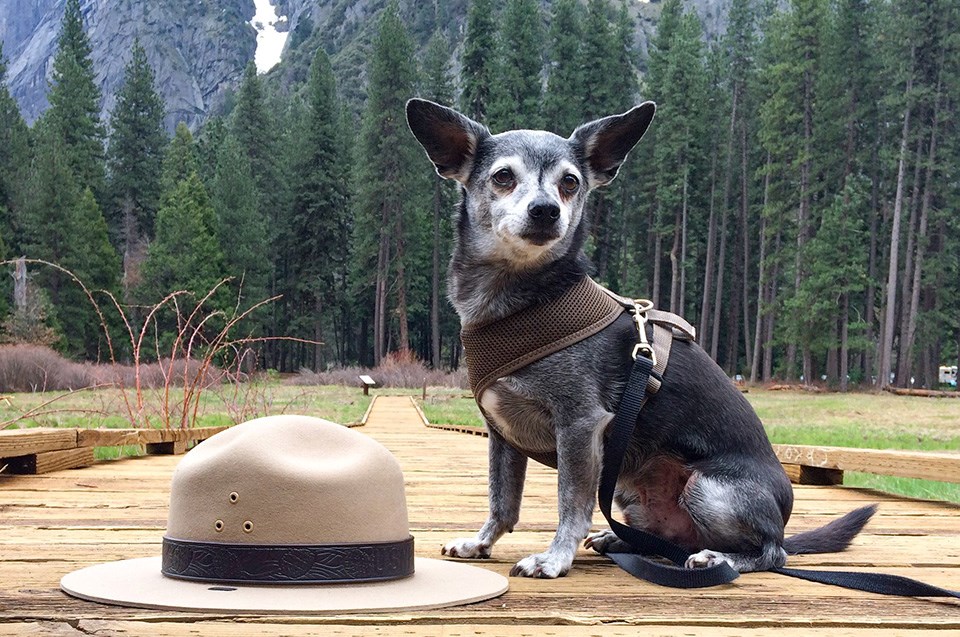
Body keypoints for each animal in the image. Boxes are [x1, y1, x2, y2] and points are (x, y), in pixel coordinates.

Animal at [406, 98, 876, 576]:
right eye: (503, 176)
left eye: (570, 183)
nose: (546, 210)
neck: (520, 302)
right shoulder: (501, 435)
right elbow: (502, 502)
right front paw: (480, 543)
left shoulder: (579, 426)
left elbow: (570, 505)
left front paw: (554, 558)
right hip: (628, 488)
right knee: (669, 538)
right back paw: (620, 538)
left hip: (708, 490)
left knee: (769, 551)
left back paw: (717, 556)